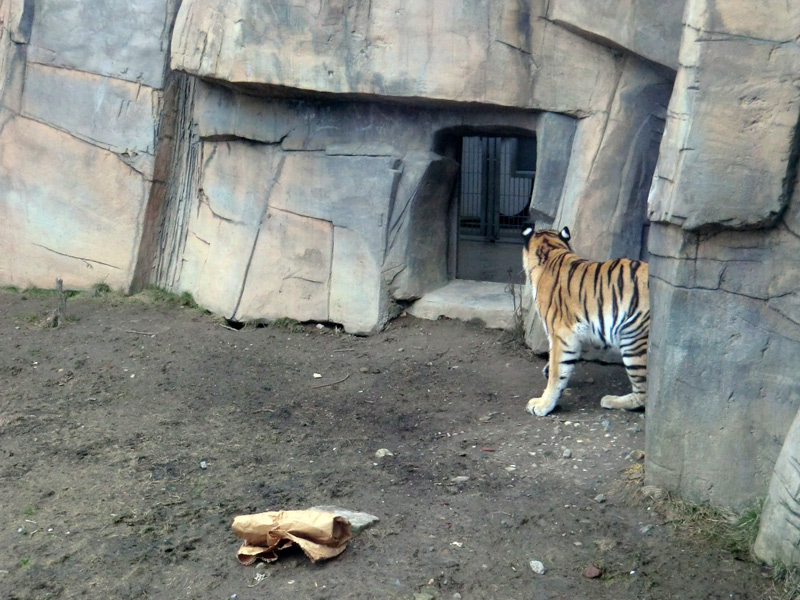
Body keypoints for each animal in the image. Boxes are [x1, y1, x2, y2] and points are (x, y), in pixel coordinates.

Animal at [520, 225, 648, 418]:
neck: (551, 250)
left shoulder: (561, 334)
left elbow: (558, 371)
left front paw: (543, 404)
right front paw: (548, 371)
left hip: (634, 339)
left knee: (644, 394)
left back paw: (611, 400)